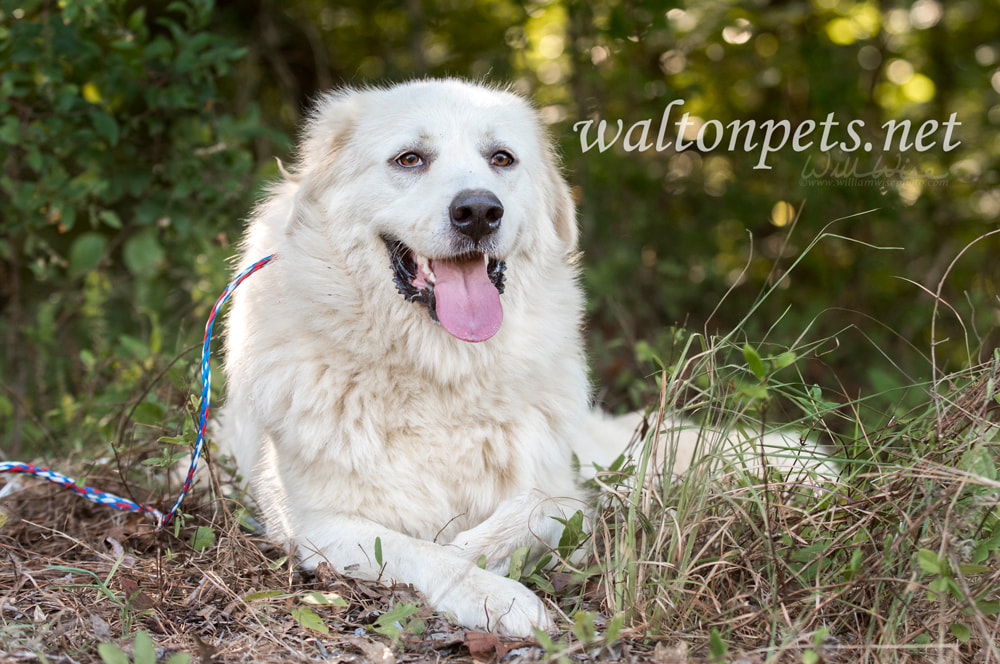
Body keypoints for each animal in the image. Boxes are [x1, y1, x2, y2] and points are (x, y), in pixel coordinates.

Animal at [223, 79, 832, 640]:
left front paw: (485, 555)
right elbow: (424, 552)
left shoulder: (562, 494)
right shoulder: (317, 522)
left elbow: (525, 516)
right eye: (409, 159)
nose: (477, 211)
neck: (443, 374)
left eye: (501, 159)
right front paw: (496, 594)